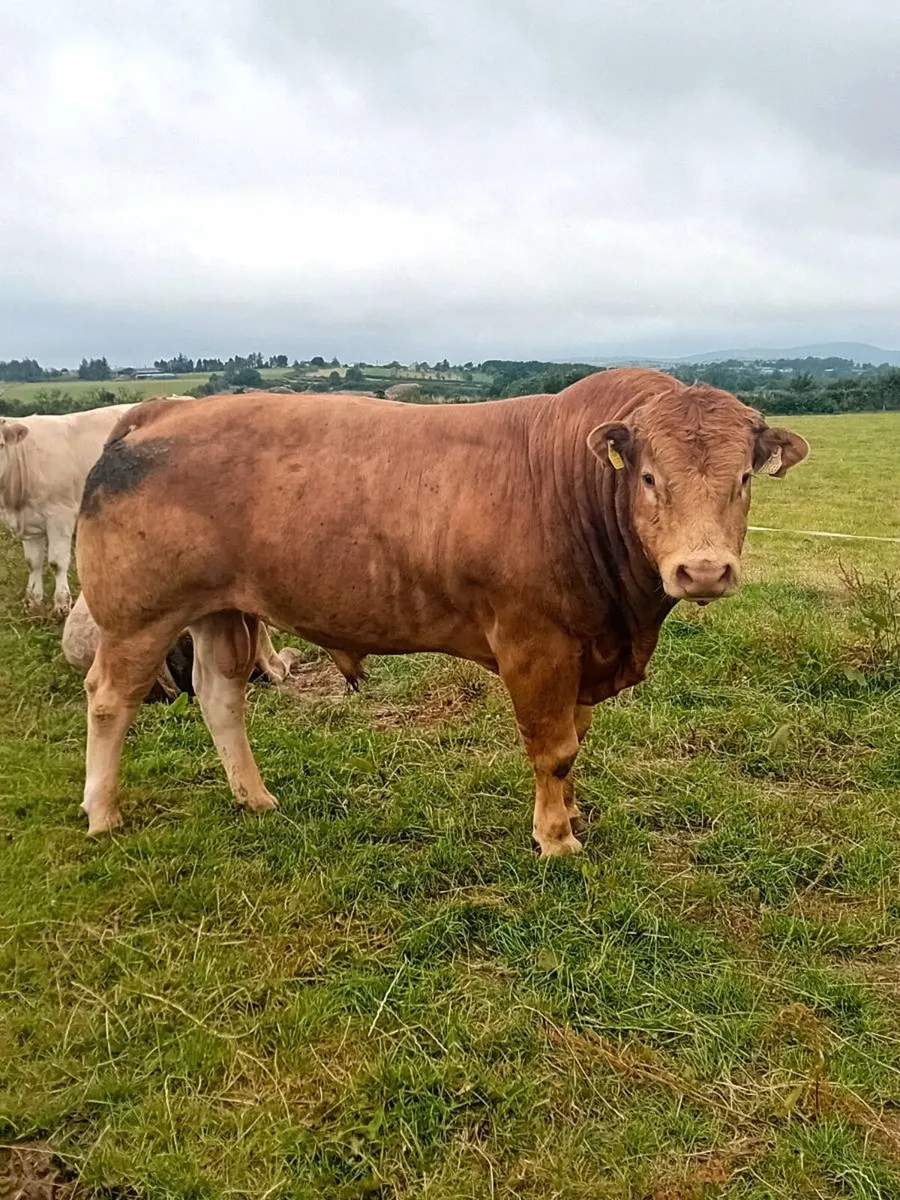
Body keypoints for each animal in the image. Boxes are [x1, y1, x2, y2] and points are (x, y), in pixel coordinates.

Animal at [0, 404, 134, 613]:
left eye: (0, 445)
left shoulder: (60, 516)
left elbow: (57, 562)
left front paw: (62, 604)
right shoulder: (29, 522)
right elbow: (33, 563)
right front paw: (33, 601)